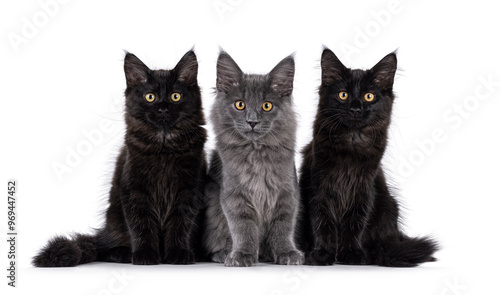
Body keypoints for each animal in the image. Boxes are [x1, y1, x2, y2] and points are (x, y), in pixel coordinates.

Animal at [33, 49, 206, 268]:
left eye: (175, 96)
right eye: (150, 97)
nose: (163, 108)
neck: (164, 146)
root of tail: (103, 233)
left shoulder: (189, 189)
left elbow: (181, 224)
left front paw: (178, 254)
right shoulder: (134, 189)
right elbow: (141, 224)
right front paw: (145, 255)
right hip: (114, 219)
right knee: (105, 249)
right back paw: (123, 253)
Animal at [203, 52, 304, 268]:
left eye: (267, 106)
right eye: (240, 104)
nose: (252, 121)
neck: (256, 153)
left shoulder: (287, 194)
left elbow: (283, 228)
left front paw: (287, 253)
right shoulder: (234, 197)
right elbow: (243, 228)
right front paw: (242, 254)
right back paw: (224, 253)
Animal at [296, 49, 438, 268]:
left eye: (369, 96)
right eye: (343, 95)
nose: (355, 108)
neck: (351, 145)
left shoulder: (363, 188)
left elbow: (355, 223)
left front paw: (352, 254)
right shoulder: (319, 186)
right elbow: (322, 221)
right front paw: (322, 254)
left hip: (388, 206)